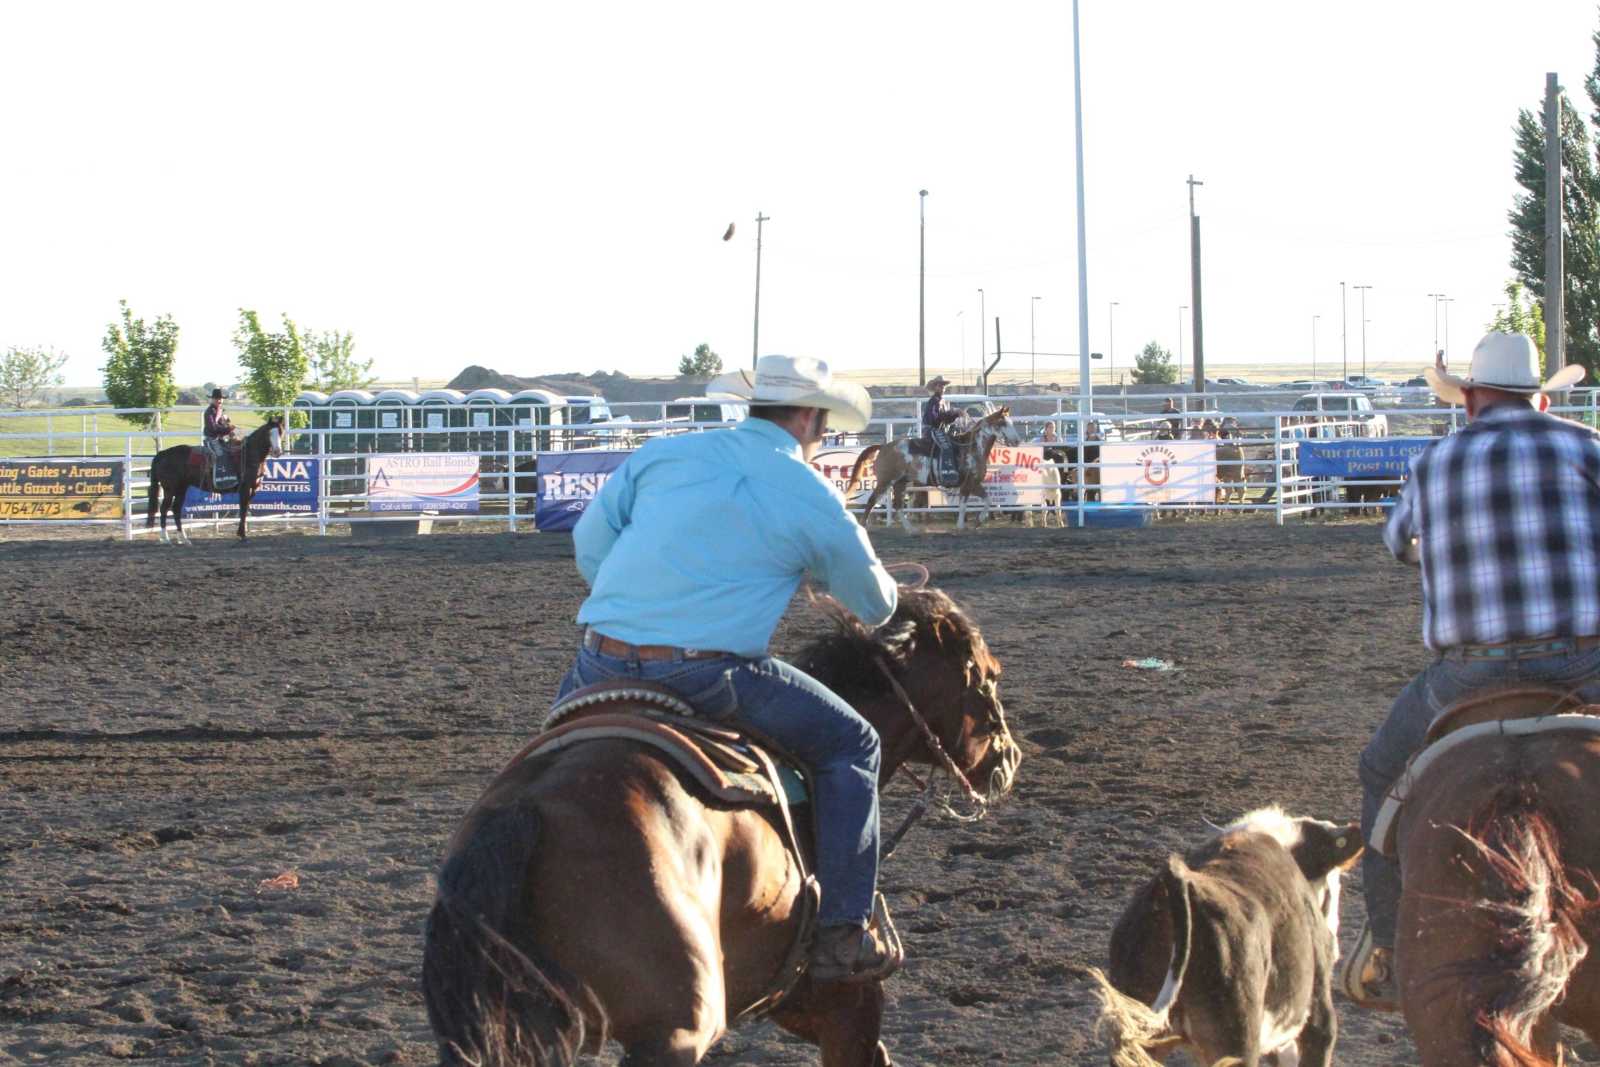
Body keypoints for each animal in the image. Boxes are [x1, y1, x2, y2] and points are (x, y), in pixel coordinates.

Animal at [145, 415, 286, 543]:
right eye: (269, 433)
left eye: (280, 432)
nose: (277, 451)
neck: (248, 454)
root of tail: (162, 454)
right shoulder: (245, 489)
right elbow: (243, 510)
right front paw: (242, 535)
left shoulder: (252, 489)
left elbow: (244, 510)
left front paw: (241, 533)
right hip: (170, 489)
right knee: (164, 509)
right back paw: (165, 538)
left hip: (181, 488)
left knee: (176, 509)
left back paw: (183, 538)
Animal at [421, 586, 1022, 1067]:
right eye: (987, 677)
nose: (1010, 758)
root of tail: (527, 808)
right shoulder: (847, 1007)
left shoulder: (796, 1000)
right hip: (676, 1033)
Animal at [844, 407, 1022, 531]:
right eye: (1002, 423)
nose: (1017, 441)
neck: (972, 447)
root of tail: (883, 447)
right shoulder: (967, 484)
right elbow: (963, 505)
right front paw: (960, 526)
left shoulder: (974, 483)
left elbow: (988, 500)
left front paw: (978, 521)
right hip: (886, 480)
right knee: (872, 501)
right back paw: (863, 526)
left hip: (901, 482)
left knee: (897, 505)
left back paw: (910, 529)